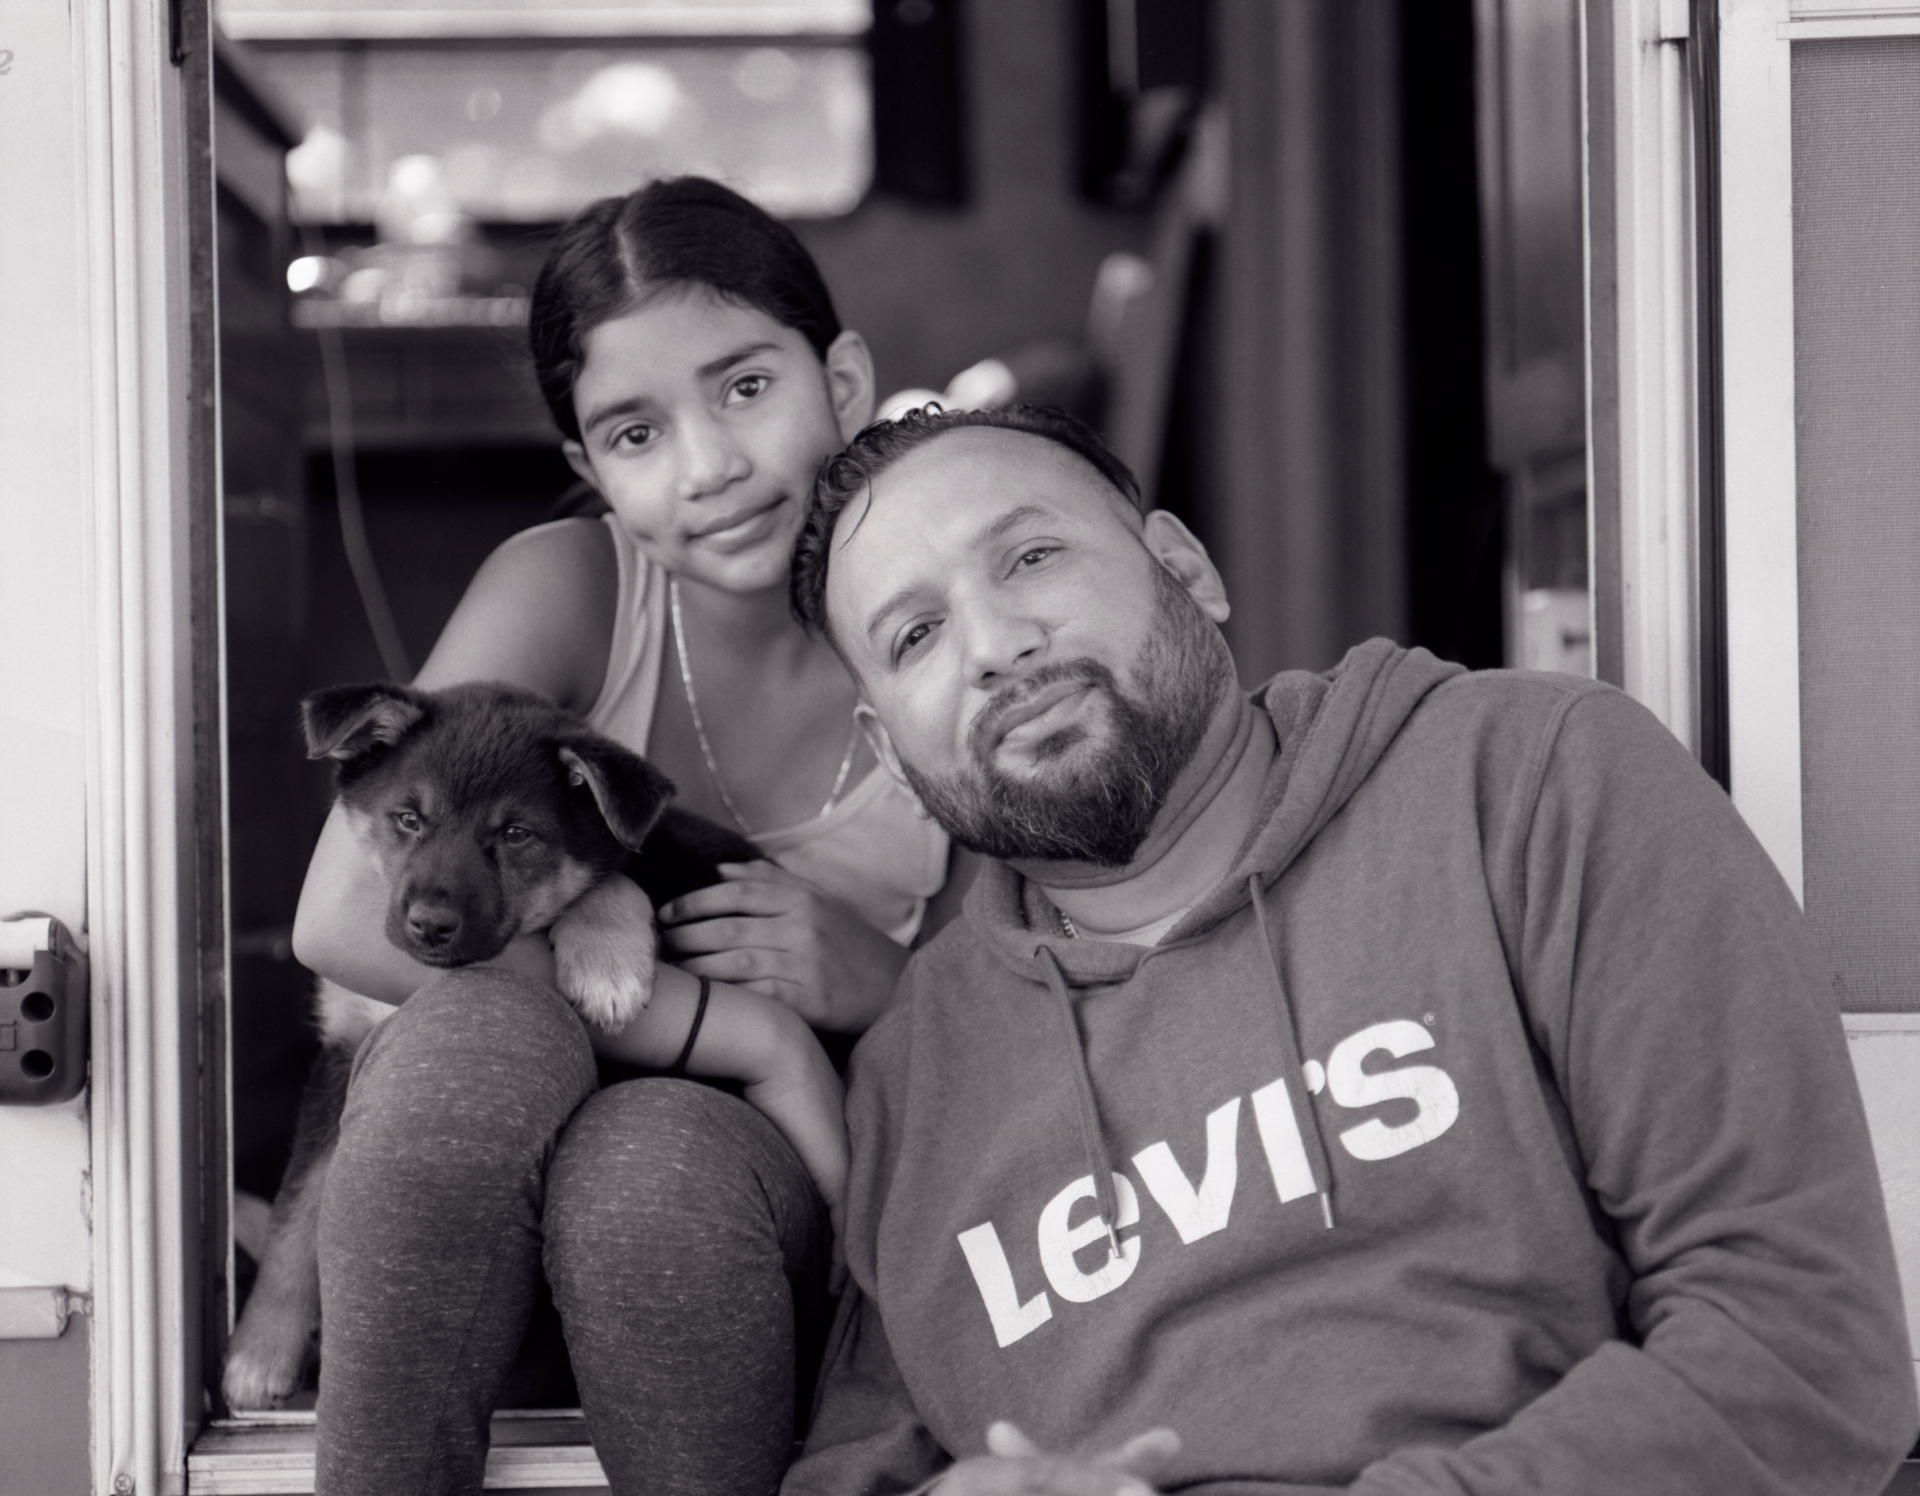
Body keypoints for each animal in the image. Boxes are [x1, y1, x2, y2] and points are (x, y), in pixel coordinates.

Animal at [220, 683, 752, 1413]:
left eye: (516, 835)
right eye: (408, 819)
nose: (429, 926)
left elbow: (613, 878)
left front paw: (607, 963)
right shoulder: (340, 1053)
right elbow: (294, 1216)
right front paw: (260, 1351)